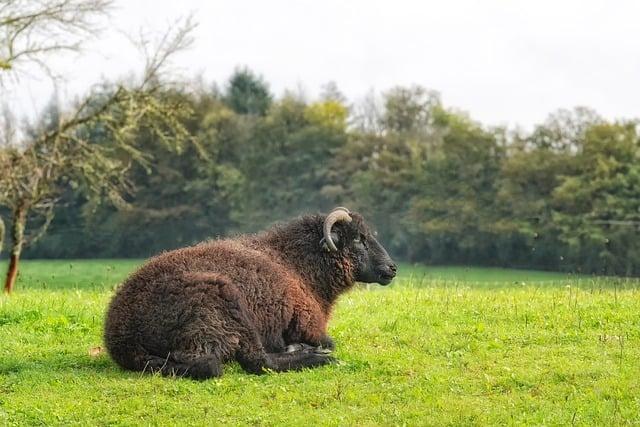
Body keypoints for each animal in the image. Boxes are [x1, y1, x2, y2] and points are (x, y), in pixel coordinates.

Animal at [103, 209, 398, 380]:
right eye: (358, 238)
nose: (392, 268)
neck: (296, 263)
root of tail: (123, 336)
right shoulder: (309, 326)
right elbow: (329, 342)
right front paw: (310, 349)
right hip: (222, 309)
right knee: (248, 362)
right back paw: (313, 357)